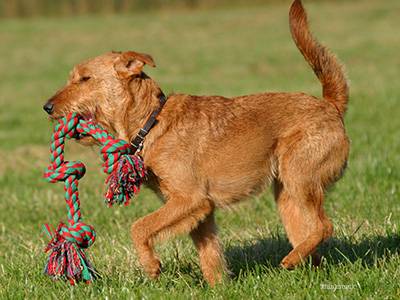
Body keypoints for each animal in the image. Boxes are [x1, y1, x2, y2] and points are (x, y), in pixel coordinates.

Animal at [43, 0, 350, 286]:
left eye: (84, 79)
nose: (47, 107)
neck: (151, 123)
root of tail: (330, 105)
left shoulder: (190, 198)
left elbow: (139, 227)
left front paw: (151, 266)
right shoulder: (200, 211)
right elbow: (210, 255)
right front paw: (219, 288)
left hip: (299, 178)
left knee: (325, 226)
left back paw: (290, 260)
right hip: (287, 196)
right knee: (312, 240)